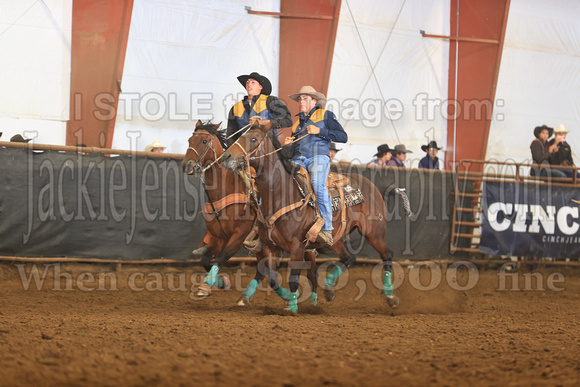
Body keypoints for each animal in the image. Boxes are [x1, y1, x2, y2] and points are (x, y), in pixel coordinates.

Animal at [220, 126, 402, 314]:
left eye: (254, 139)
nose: (226, 156)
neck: (280, 196)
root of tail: (374, 187)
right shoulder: (271, 246)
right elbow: (271, 277)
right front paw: (288, 296)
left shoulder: (297, 246)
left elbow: (293, 277)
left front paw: (291, 307)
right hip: (335, 240)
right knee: (349, 258)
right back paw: (328, 289)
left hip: (374, 233)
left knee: (387, 255)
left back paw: (390, 297)